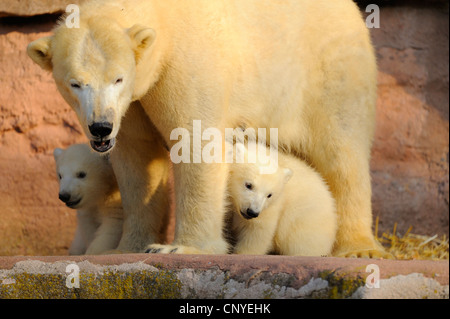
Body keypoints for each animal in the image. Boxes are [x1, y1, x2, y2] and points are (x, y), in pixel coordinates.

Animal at [28, 0, 388, 258]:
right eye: (75, 83)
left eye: (118, 78)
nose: (101, 127)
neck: (162, 19)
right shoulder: (134, 102)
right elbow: (137, 158)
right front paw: (127, 247)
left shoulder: (185, 63)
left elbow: (195, 140)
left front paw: (181, 247)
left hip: (330, 66)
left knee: (342, 149)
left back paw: (359, 248)